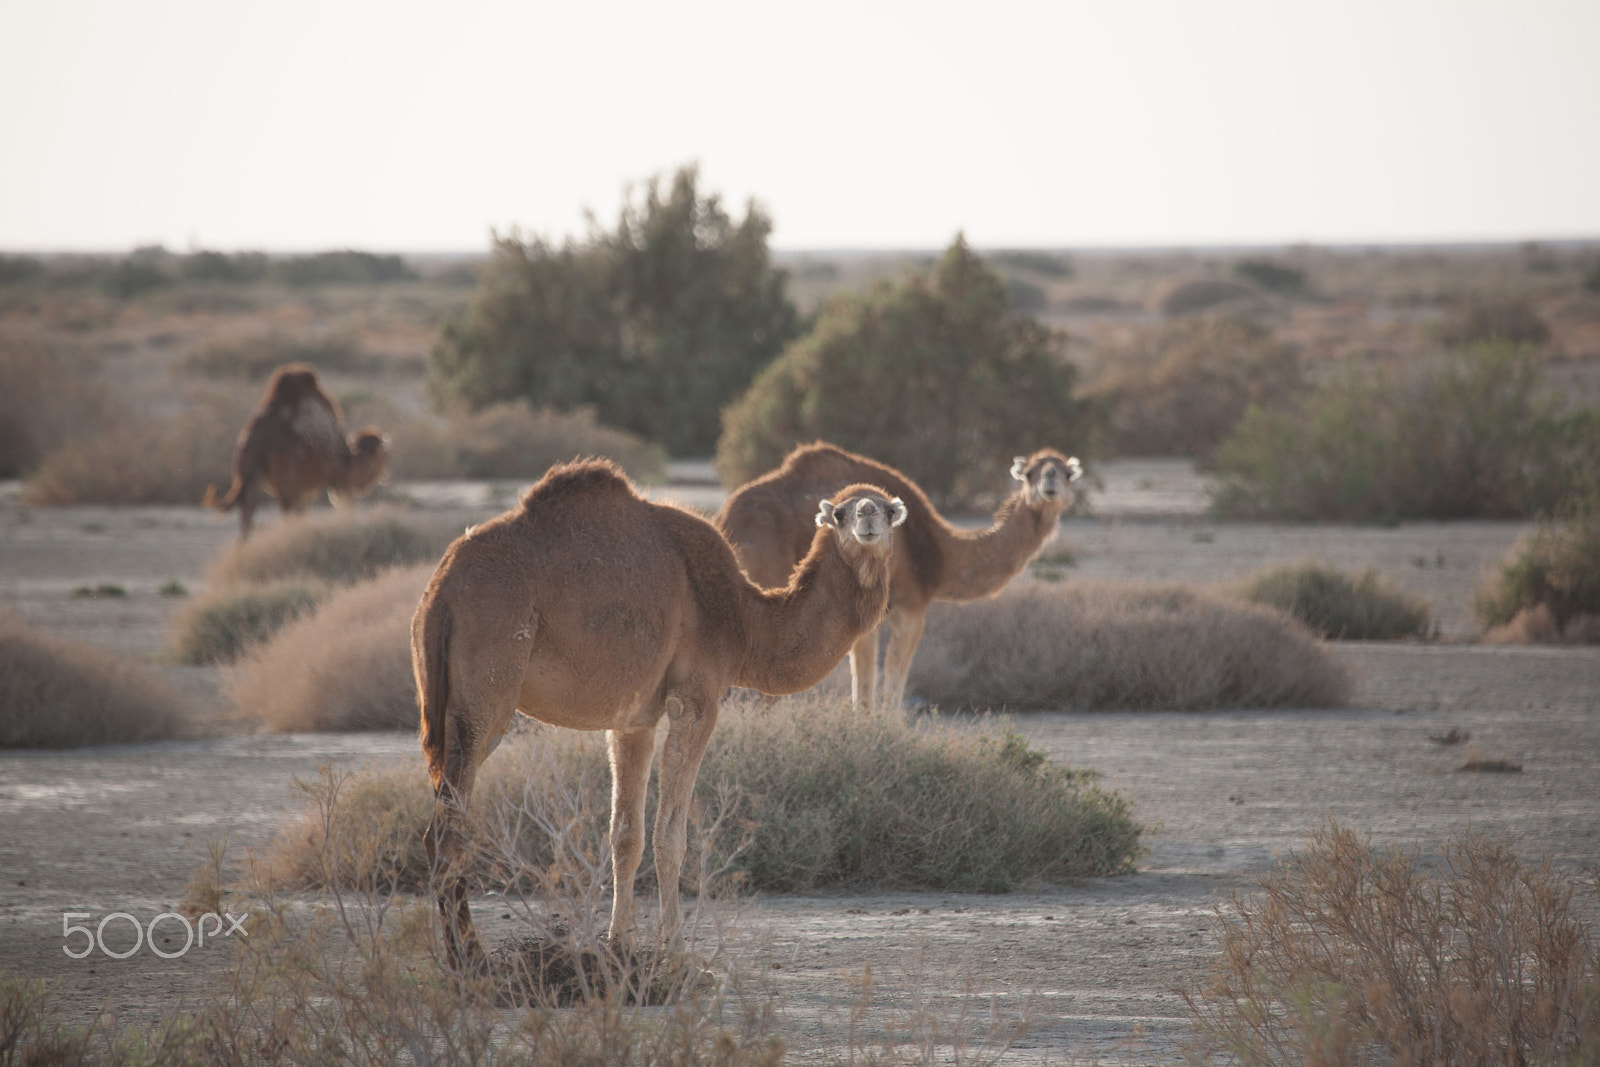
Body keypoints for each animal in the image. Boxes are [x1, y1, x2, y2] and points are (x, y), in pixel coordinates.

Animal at [202, 363, 388, 539]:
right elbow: (345, 504)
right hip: (285, 477)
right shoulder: (339, 479)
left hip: (247, 472)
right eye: (382, 455)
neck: (349, 457)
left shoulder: (302, 488)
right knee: (283, 509)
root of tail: (257, 440)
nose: (383, 473)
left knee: (249, 508)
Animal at [413, 458, 906, 972]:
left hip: (442, 702)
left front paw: (620, 947)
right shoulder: (696, 700)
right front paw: (677, 951)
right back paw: (470, 957)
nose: (867, 516)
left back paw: (463, 953)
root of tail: (440, 592)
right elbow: (670, 836)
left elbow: (625, 836)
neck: (745, 623)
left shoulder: (634, 718)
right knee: (447, 829)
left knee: (440, 824)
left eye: (889, 511)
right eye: (841, 514)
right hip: (486, 690)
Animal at [715, 442, 1081, 713]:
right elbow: (890, 683)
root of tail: (727, 524)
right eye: (1031, 472)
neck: (941, 556)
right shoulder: (910, 606)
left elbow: (867, 687)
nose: (1050, 482)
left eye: (1065, 472)